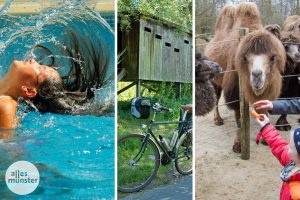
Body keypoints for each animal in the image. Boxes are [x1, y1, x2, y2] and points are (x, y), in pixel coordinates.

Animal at [204, 1, 286, 153]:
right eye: (244, 58)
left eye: (272, 57)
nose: (257, 76)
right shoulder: (235, 92)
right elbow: (239, 120)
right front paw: (238, 146)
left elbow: (264, 111)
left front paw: (265, 139)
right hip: (214, 79)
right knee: (216, 99)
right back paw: (218, 120)